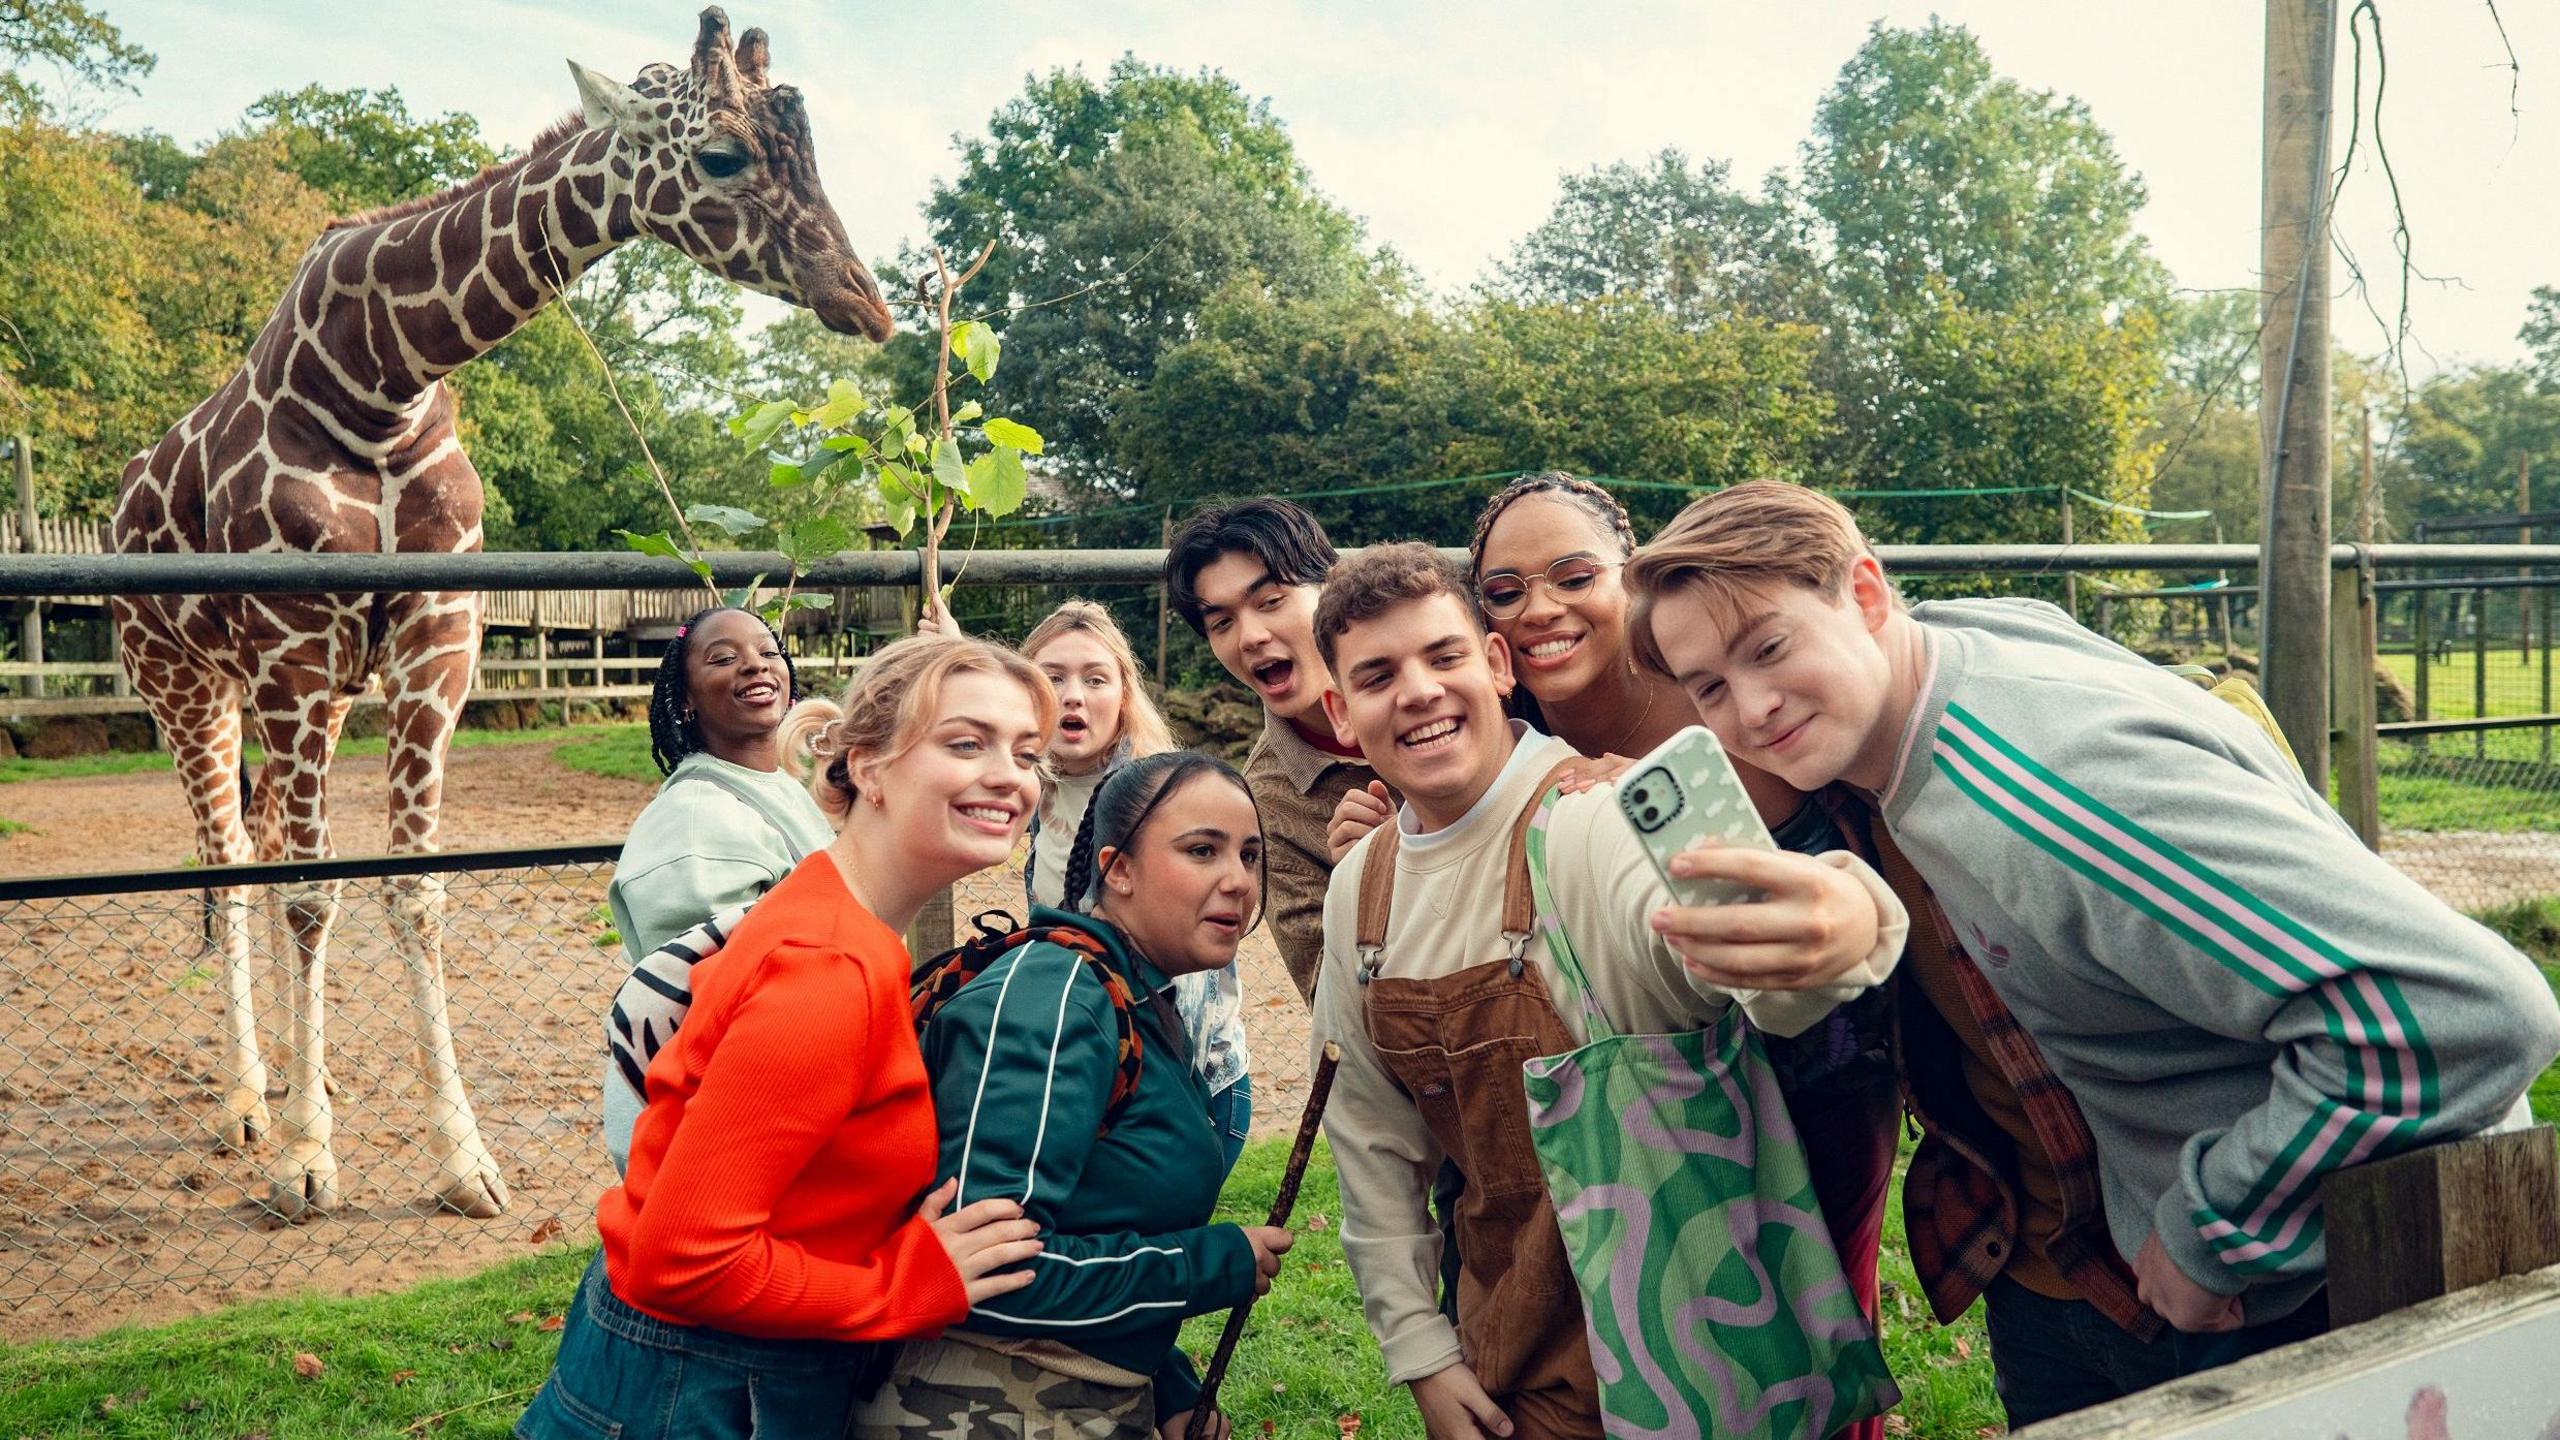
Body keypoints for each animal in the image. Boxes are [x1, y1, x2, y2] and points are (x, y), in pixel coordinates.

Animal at [107, 8, 890, 1219]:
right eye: (721, 156)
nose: (867, 299)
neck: (375, 380)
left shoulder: (436, 642)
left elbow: (412, 892)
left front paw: (458, 1158)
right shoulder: (291, 647)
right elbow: (310, 896)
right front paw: (305, 1162)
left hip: (308, 697)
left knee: (272, 846)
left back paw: (296, 1078)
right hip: (187, 686)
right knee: (231, 860)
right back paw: (249, 1105)